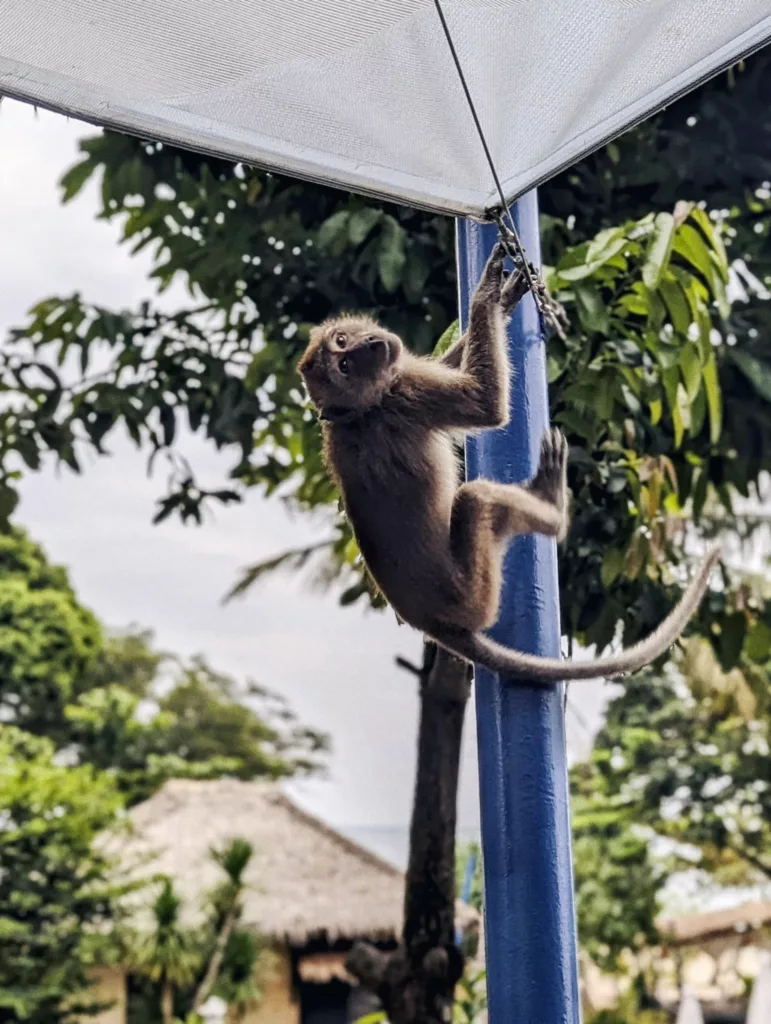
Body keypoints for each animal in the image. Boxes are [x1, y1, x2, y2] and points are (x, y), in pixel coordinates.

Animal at [296, 240, 721, 683]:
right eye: (345, 365)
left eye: (342, 342)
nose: (369, 346)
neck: (361, 410)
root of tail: (433, 624)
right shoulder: (407, 395)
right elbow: (484, 404)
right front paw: (486, 293)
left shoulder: (404, 375)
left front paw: (502, 300)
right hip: (477, 594)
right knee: (477, 499)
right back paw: (552, 505)